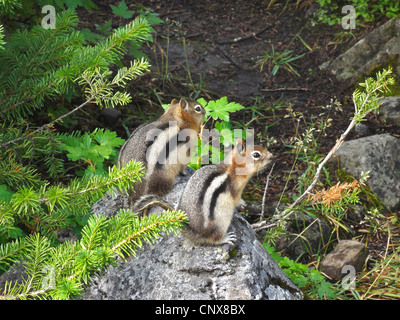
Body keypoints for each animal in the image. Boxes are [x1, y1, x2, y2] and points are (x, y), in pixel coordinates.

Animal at [133, 139, 274, 245]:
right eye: (256, 154)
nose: (272, 156)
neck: (233, 168)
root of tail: (192, 230)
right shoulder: (236, 188)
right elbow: (236, 200)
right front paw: (243, 203)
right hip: (222, 221)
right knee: (213, 239)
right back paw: (226, 238)